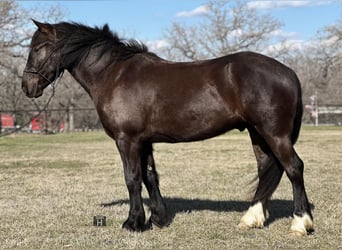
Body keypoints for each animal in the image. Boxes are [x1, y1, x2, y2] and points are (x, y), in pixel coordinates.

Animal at [21, 20, 314, 235]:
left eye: (38, 47)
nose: (27, 86)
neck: (115, 74)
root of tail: (288, 72)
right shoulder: (144, 141)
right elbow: (150, 176)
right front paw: (158, 219)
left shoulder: (127, 140)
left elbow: (132, 178)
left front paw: (133, 223)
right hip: (258, 134)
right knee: (267, 169)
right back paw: (252, 219)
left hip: (275, 134)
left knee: (293, 168)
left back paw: (301, 223)